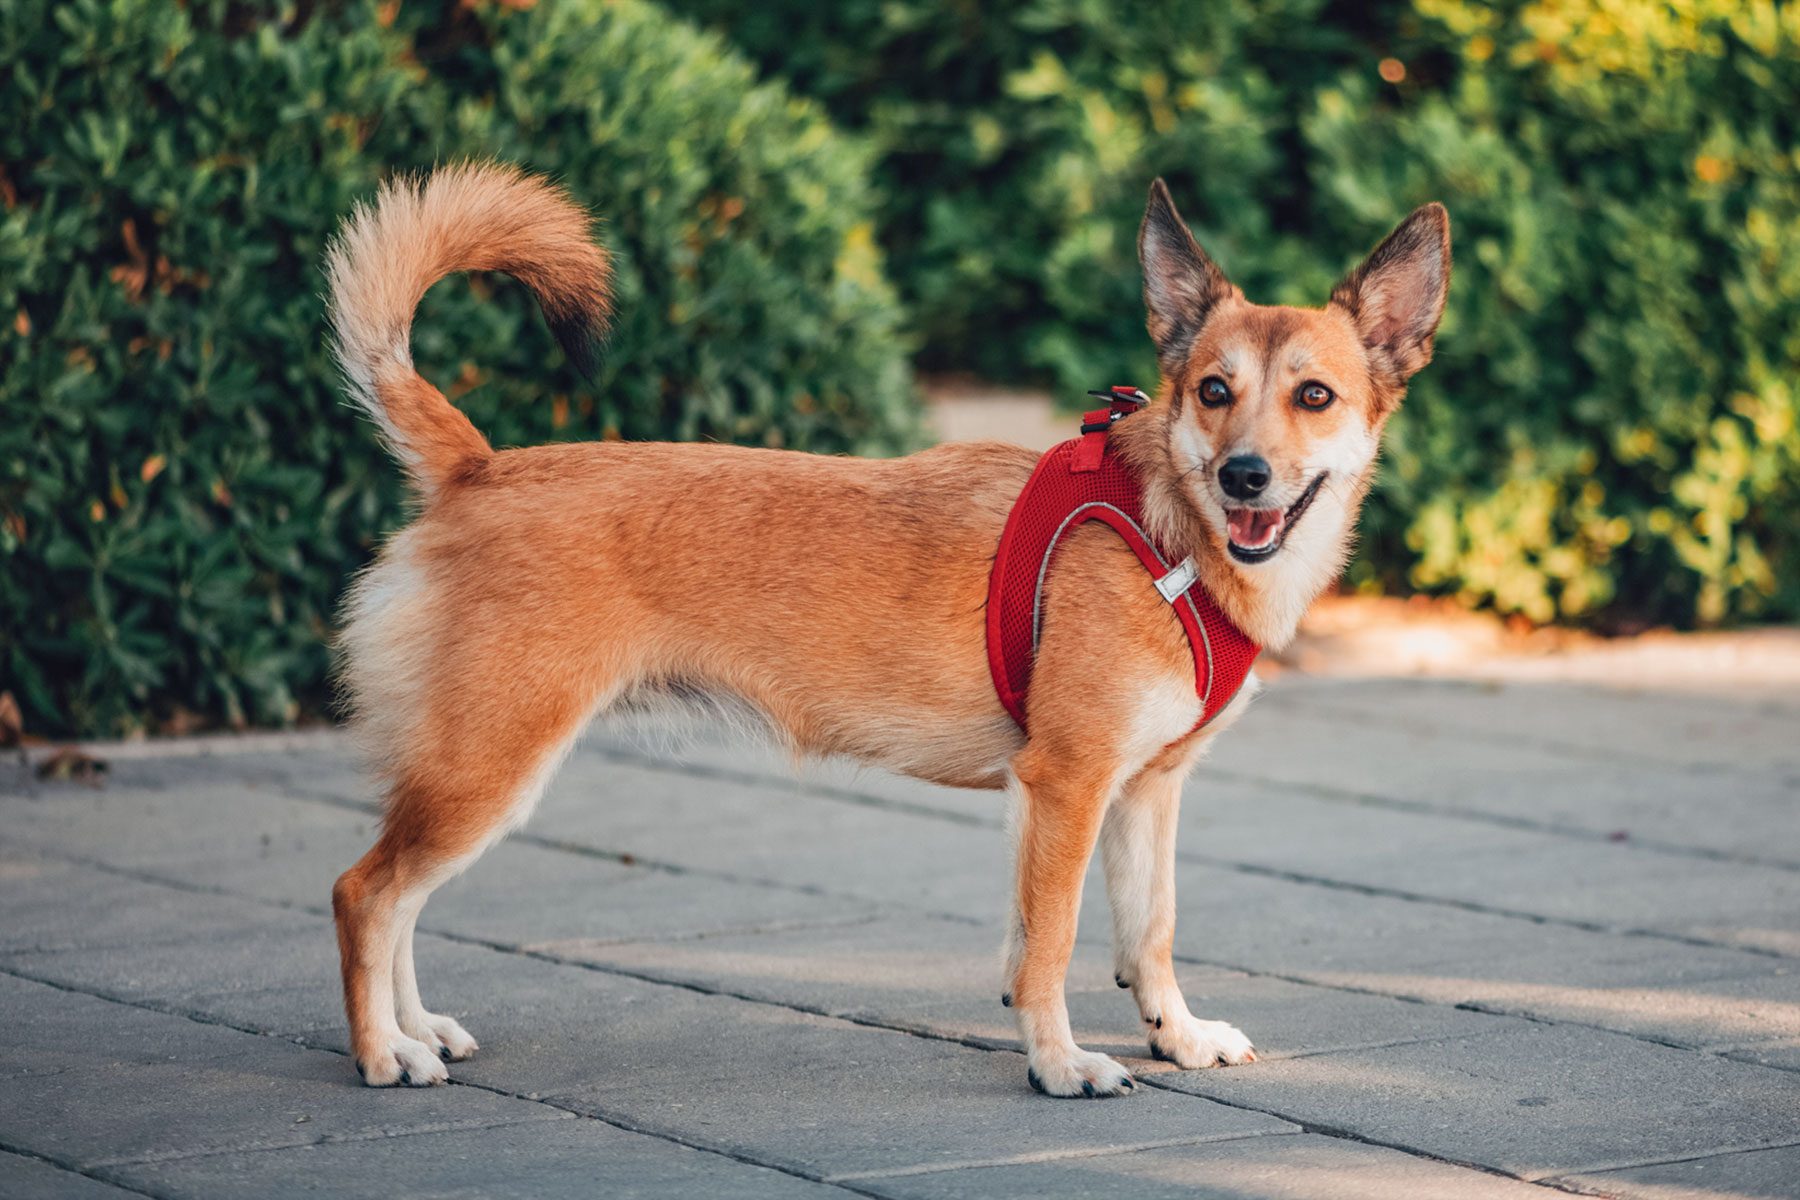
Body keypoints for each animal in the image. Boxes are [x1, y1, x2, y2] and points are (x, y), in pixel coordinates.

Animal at [327, 161, 1447, 1101]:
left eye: (1314, 396)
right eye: (1214, 392)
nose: (1245, 476)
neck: (1164, 527)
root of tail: (477, 467)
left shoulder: (1144, 793)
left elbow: (1150, 932)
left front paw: (1175, 1036)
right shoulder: (1066, 787)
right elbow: (1052, 943)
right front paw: (1059, 1064)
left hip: (467, 773)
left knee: (402, 897)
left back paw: (421, 1029)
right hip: (488, 767)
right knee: (364, 894)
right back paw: (384, 1053)